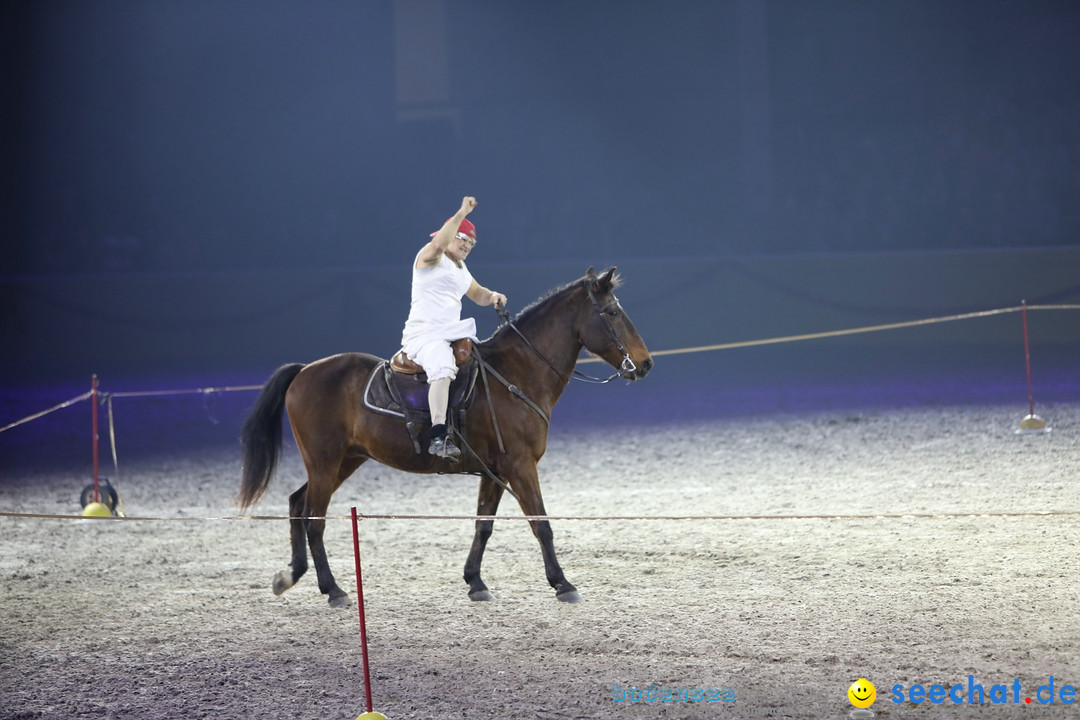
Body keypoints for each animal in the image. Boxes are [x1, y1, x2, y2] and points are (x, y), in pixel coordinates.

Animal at [240, 267, 652, 604]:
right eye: (612, 313)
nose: (645, 363)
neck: (515, 374)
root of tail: (304, 370)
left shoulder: (496, 471)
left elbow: (484, 525)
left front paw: (475, 582)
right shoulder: (520, 467)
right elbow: (542, 524)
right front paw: (562, 583)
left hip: (344, 460)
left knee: (297, 504)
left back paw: (292, 575)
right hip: (326, 463)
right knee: (314, 519)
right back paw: (334, 590)